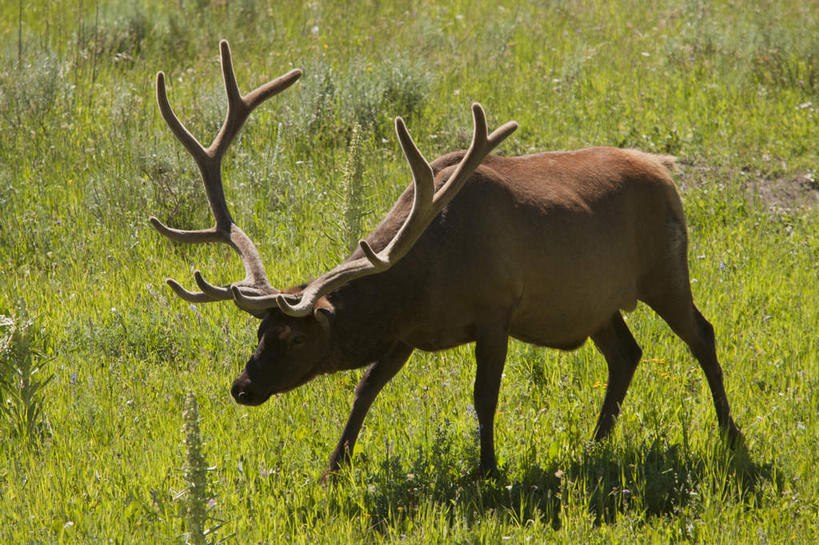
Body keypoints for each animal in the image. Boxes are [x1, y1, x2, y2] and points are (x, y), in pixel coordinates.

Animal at [149, 41, 744, 476]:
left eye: (294, 338)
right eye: (258, 332)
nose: (241, 387)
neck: (423, 274)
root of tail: (665, 169)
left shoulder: (495, 311)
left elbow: (484, 397)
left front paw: (487, 470)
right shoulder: (407, 333)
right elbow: (365, 390)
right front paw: (333, 468)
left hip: (666, 271)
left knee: (702, 334)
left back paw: (730, 434)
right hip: (597, 303)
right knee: (627, 353)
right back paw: (594, 445)